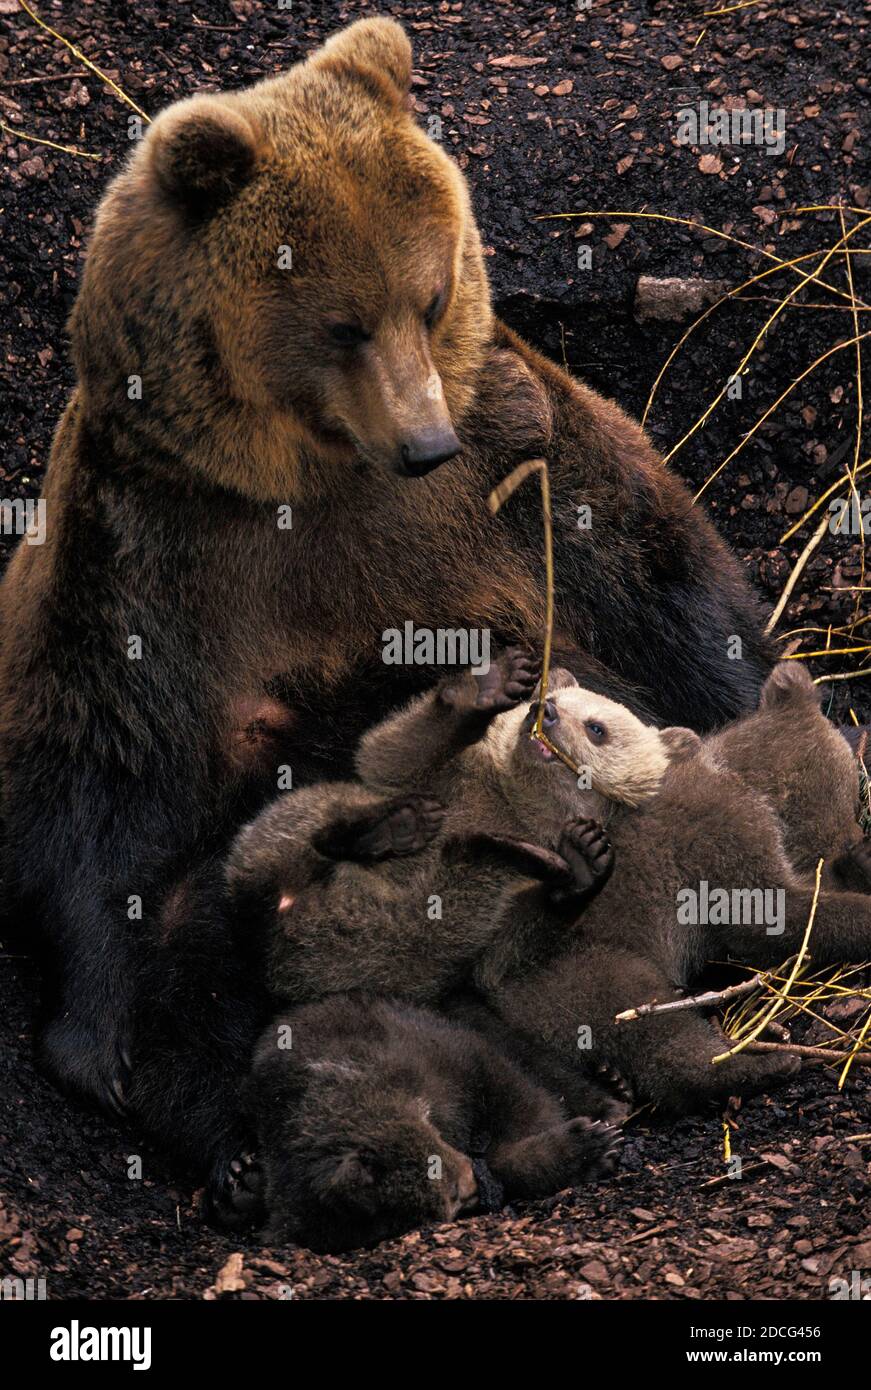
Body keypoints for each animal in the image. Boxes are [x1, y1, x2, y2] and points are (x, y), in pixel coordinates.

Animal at [0, 15, 774, 1207]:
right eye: (340, 325)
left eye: (431, 295)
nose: (423, 442)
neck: (318, 478)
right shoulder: (149, 552)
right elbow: (104, 789)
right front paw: (106, 1053)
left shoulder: (519, 468)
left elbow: (674, 608)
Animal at [246, 993, 622, 1253]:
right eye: (447, 1203)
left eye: (451, 1188)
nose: (473, 1187)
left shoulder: (437, 1056)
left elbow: (515, 1092)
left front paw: (589, 1143)